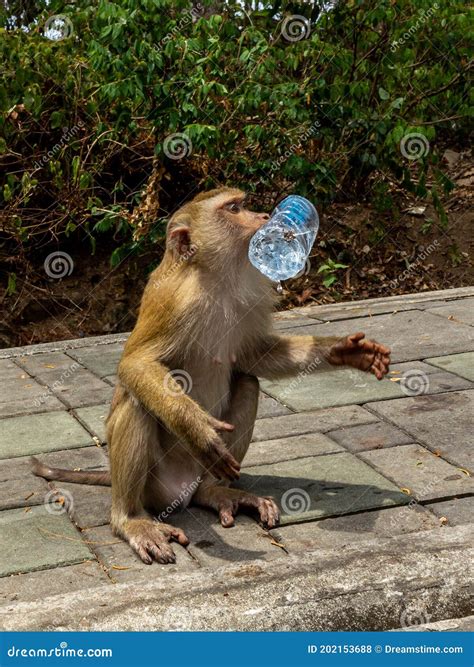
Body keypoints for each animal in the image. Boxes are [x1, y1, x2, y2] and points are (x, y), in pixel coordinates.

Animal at [31, 187, 390, 564]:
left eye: (243, 204)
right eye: (234, 208)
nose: (265, 217)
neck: (215, 278)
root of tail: (181, 489)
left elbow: (253, 355)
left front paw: (344, 351)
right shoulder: (173, 301)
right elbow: (134, 365)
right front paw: (198, 430)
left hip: (200, 475)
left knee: (247, 383)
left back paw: (215, 493)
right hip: (155, 486)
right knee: (137, 401)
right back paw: (131, 520)